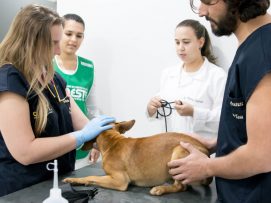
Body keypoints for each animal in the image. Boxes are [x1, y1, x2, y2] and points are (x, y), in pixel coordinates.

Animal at [63, 119, 212, 196]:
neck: (112, 142)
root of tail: (206, 153)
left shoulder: (120, 181)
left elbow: (92, 176)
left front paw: (81, 181)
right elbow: (91, 177)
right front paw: (75, 180)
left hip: (178, 153)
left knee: (181, 187)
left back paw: (160, 189)